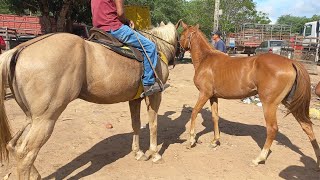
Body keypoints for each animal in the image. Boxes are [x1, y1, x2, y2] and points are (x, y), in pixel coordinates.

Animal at [0, 21, 180, 179]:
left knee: (14, 145)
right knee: (26, 154)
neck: (157, 48)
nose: (177, 57)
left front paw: (138, 152)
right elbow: (154, 124)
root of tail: (20, 49)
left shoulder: (134, 99)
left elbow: (136, 124)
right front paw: (155, 154)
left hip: (31, 117)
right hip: (45, 119)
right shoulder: (155, 95)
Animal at [178, 20, 320, 168]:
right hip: (290, 102)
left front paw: (191, 140)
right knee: (307, 126)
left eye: (181, 34)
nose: (179, 50)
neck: (205, 59)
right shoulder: (213, 96)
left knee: (272, 129)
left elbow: (194, 113)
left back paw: (259, 158)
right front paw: (215, 141)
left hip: (269, 104)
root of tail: (291, 62)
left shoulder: (204, 94)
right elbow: (215, 117)